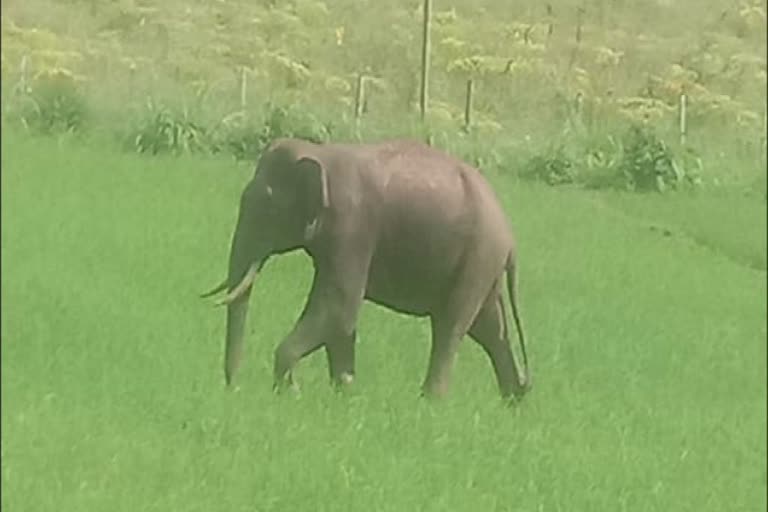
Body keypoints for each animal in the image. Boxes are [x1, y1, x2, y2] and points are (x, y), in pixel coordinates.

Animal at [201, 137, 532, 400]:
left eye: (267, 207)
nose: (234, 390)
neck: (319, 153)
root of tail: (510, 237)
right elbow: (340, 318)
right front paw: (344, 391)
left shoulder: (352, 227)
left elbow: (339, 307)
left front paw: (291, 392)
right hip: (481, 266)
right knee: (489, 329)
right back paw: (513, 400)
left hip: (478, 258)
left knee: (450, 326)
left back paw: (430, 401)